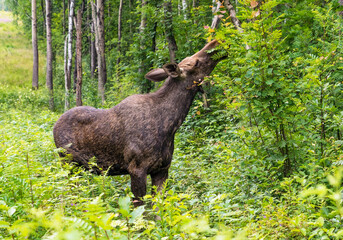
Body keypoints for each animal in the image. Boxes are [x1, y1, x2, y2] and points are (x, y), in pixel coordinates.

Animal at [53, 39, 226, 206]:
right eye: (196, 63)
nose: (216, 42)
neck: (170, 125)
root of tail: (54, 126)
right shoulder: (136, 168)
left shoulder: (162, 169)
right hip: (67, 162)